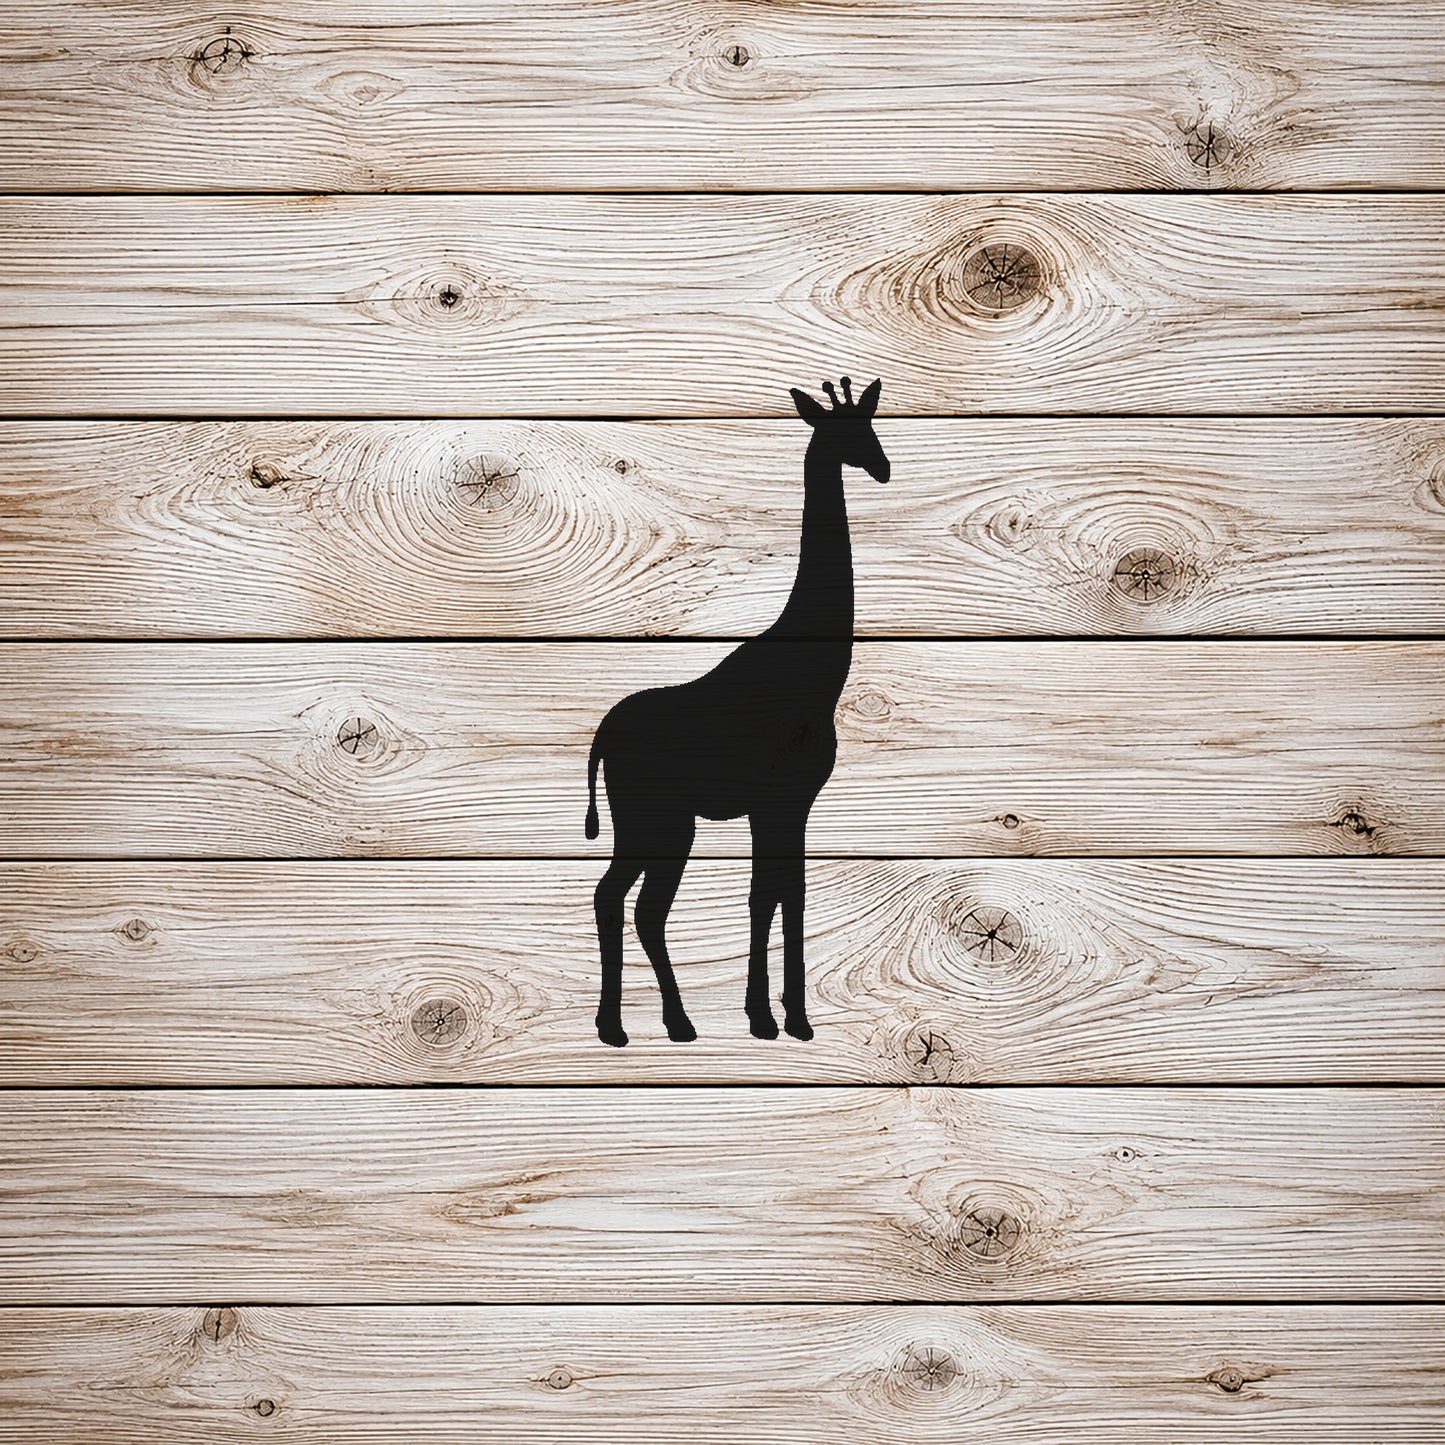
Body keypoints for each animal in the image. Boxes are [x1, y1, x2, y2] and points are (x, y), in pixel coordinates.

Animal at [585, 376, 890, 1047]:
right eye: (846, 431)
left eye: (871, 423)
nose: (883, 468)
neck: (812, 672)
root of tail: (600, 740)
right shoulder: (781, 798)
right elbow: (773, 894)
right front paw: (781, 1017)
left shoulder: (786, 803)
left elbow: (779, 893)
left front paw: (776, 1015)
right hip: (661, 821)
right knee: (630, 901)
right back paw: (647, 1026)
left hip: (653, 822)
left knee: (624, 900)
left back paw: (646, 1024)